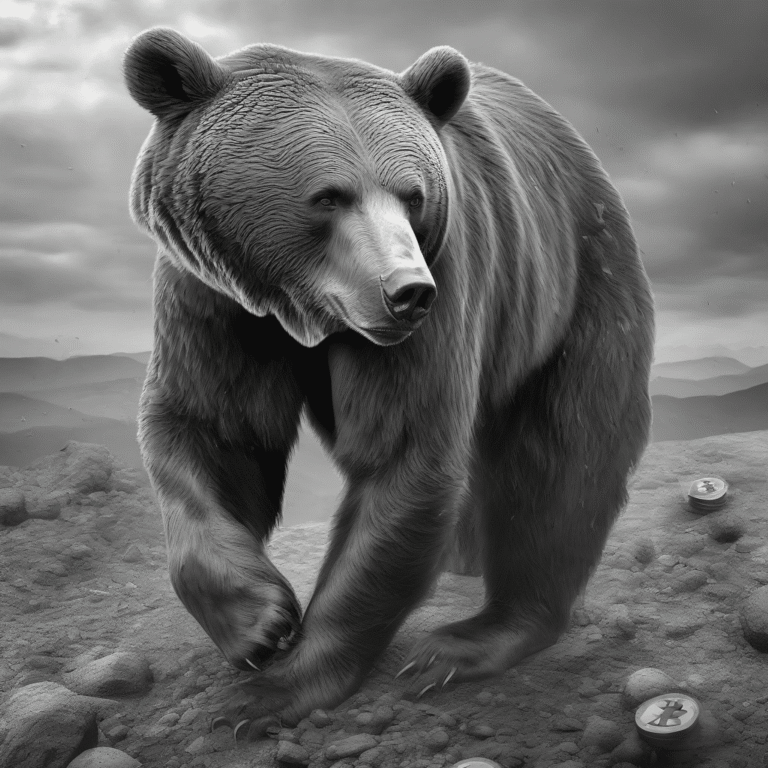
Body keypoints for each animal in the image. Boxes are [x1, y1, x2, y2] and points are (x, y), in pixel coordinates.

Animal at [123, 27, 654, 737]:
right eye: (329, 195)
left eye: (412, 194)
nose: (407, 291)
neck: (301, 309)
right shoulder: (214, 298)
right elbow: (214, 430)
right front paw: (258, 622)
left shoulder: (449, 274)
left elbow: (403, 456)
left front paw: (275, 688)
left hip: (574, 286)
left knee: (561, 463)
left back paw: (471, 638)